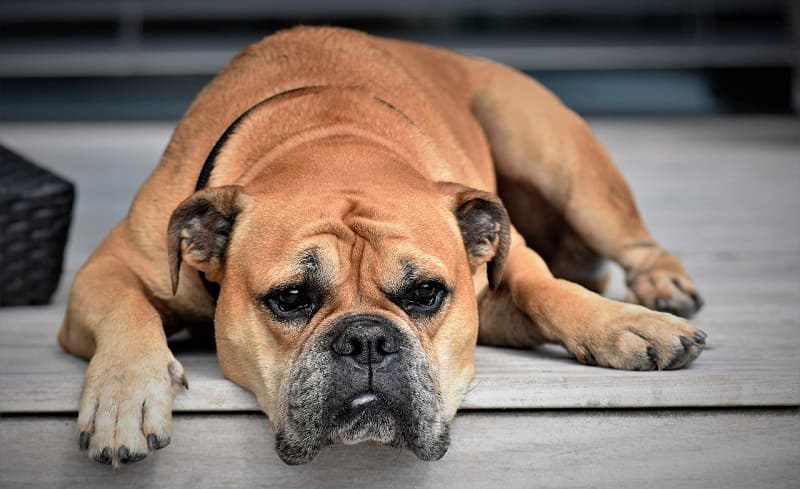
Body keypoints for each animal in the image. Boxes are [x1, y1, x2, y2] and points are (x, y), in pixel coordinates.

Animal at [57, 25, 708, 466]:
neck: (329, 140)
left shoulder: (506, 268)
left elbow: (547, 288)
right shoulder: (106, 269)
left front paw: (624, 324)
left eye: (426, 293)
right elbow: (126, 307)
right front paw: (124, 396)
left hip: (556, 155)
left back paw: (660, 288)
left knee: (631, 243)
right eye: (291, 298)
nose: (367, 339)